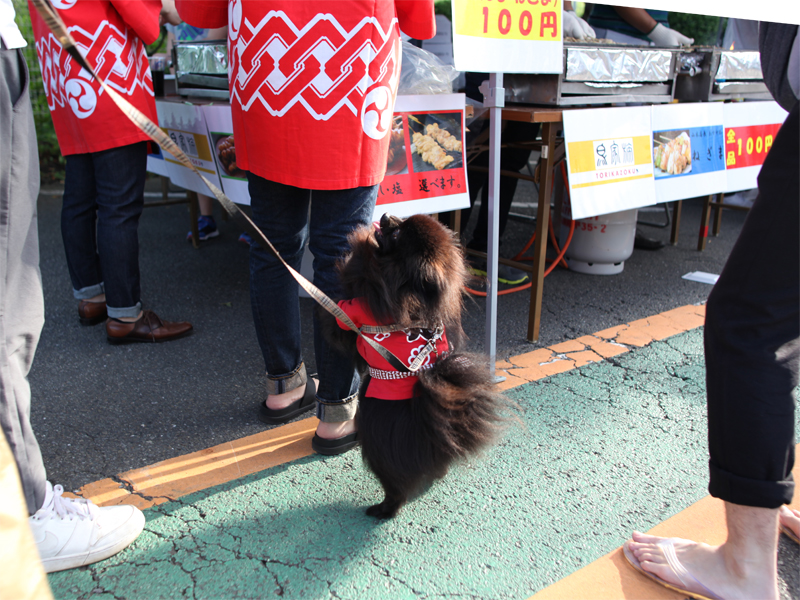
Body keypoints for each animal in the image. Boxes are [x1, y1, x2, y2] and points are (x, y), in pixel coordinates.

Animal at [322, 213, 510, 516]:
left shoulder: (354, 319)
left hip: (378, 446)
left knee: (395, 488)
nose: (386, 216)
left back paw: (382, 510)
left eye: (398, 235)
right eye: (401, 220)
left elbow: (337, 322)